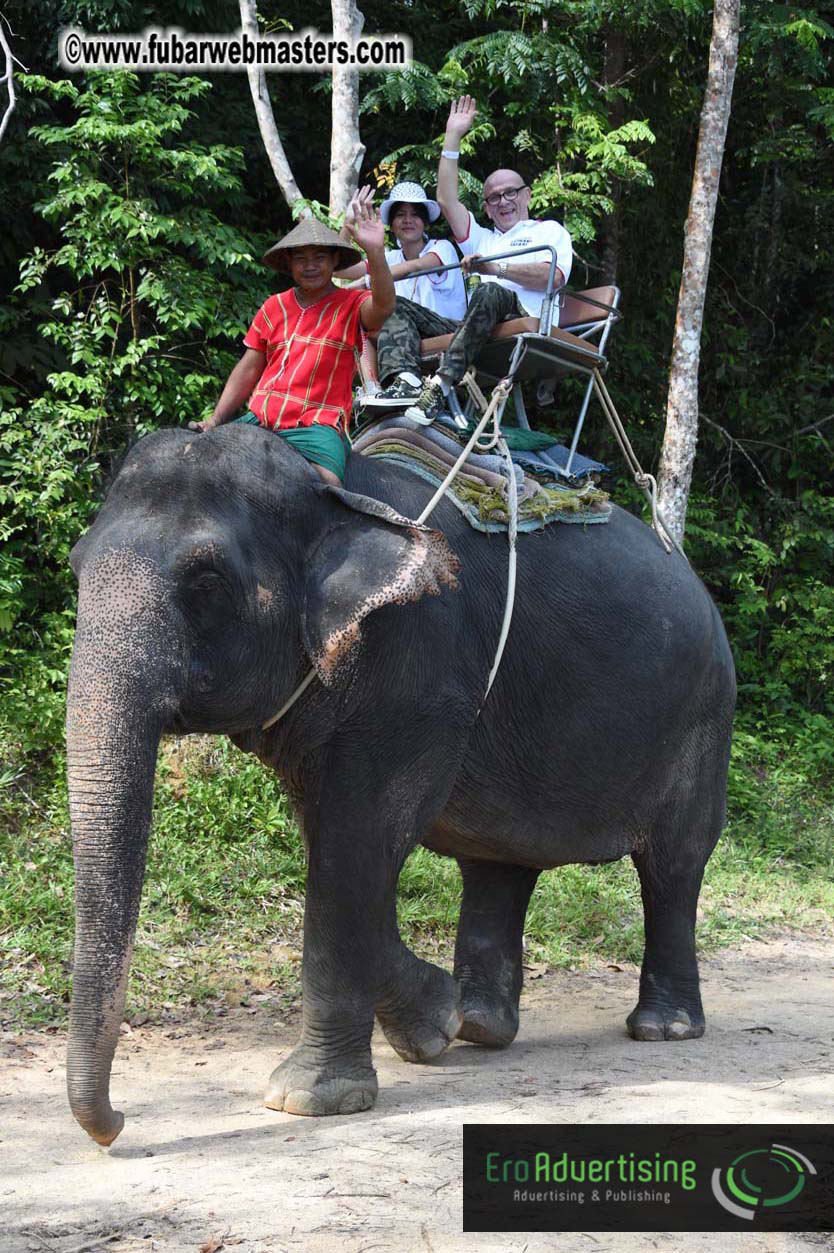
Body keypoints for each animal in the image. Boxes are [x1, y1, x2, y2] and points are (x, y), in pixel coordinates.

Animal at [65, 423, 735, 1146]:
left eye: (206, 581)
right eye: (75, 566)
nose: (116, 1126)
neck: (330, 491)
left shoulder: (417, 669)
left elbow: (356, 842)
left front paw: (307, 1099)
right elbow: (339, 849)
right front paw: (434, 1024)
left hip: (703, 720)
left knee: (673, 867)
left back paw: (663, 1028)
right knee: (497, 865)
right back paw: (480, 1027)